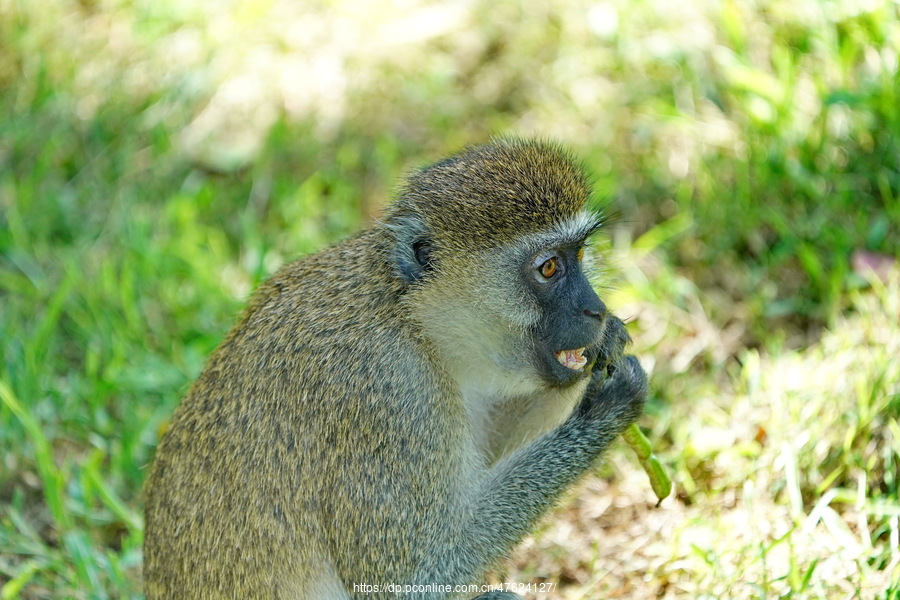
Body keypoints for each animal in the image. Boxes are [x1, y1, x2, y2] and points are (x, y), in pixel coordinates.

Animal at [142, 138, 648, 596]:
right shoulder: (389, 395)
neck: (411, 318)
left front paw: (606, 344)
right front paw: (605, 409)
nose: (594, 310)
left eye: (578, 256)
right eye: (548, 269)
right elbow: (411, 576)